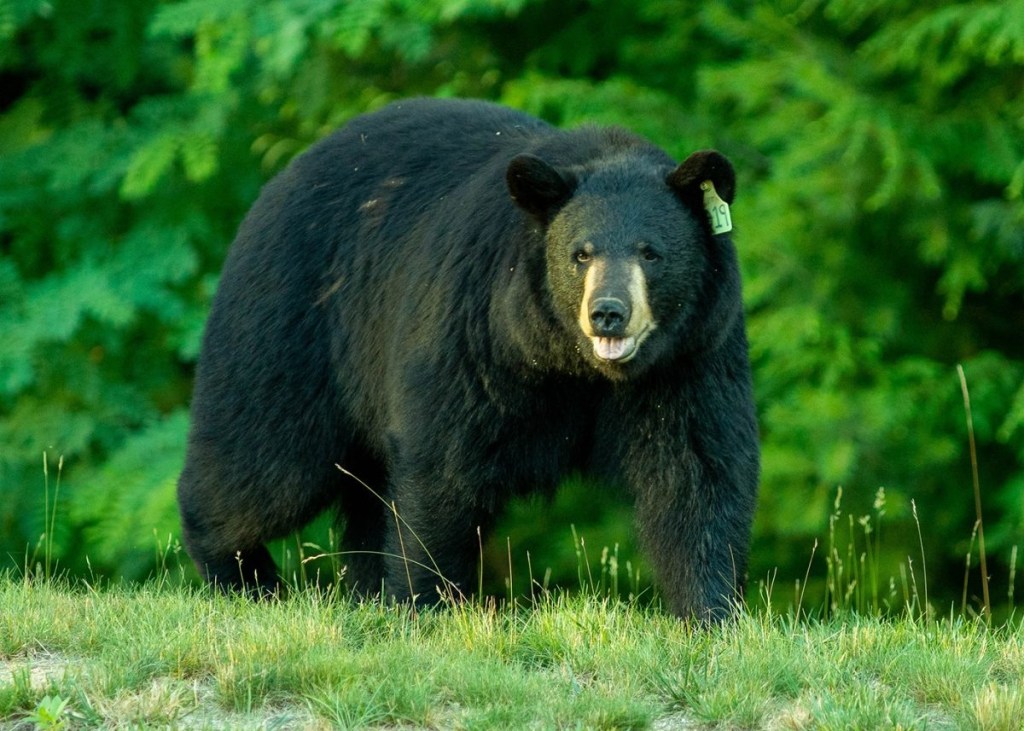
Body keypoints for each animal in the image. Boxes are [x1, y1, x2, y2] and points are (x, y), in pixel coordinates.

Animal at [177, 97, 759, 621]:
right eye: (581, 254)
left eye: (650, 252)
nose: (608, 313)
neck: (574, 366)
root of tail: (282, 177)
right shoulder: (478, 334)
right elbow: (444, 464)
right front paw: (424, 603)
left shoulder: (691, 357)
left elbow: (697, 471)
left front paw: (711, 613)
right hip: (295, 327)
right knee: (266, 464)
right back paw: (243, 577)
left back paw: (362, 589)